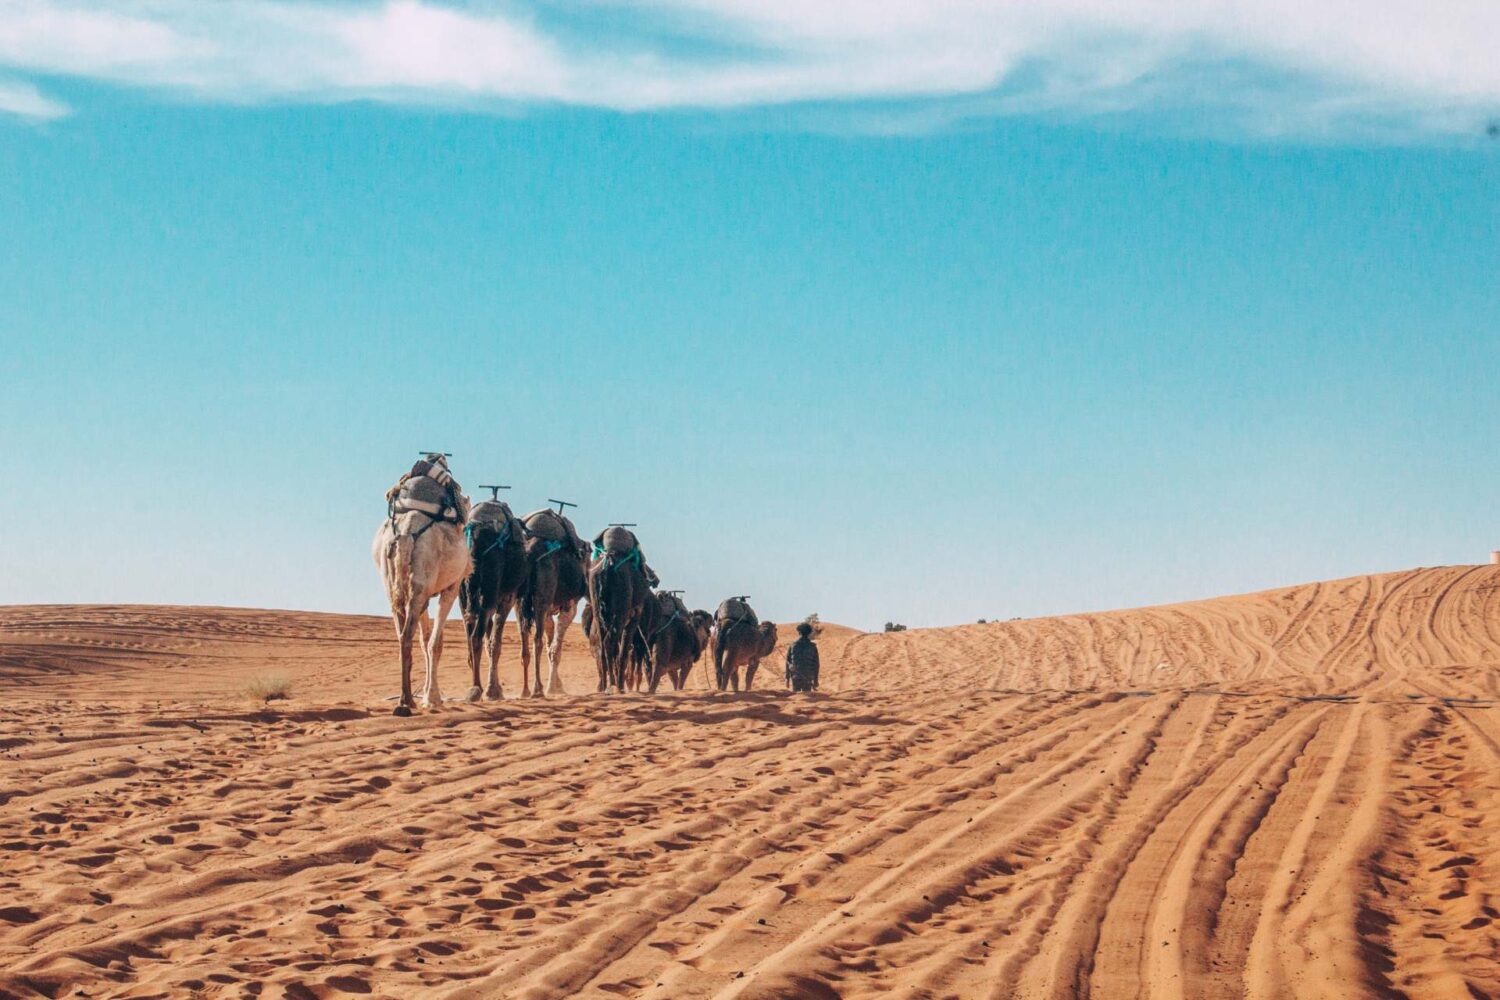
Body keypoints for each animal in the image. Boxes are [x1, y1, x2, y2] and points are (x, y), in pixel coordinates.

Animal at [373, 458, 468, 716]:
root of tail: (406, 534)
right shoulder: (451, 588)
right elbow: (435, 643)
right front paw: (433, 697)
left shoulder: (425, 593)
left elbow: (425, 642)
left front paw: (429, 695)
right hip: (420, 586)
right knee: (408, 635)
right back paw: (407, 700)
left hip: (395, 587)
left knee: (402, 635)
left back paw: (405, 699)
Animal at [456, 500, 528, 704]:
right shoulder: (506, 599)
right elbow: (495, 644)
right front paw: (493, 691)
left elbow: (489, 643)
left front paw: (494, 689)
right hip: (490, 587)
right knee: (476, 636)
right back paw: (477, 688)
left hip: (463, 593)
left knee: (470, 632)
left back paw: (474, 687)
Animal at [516, 509, 585, 695]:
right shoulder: (569, 606)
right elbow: (555, 648)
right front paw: (553, 687)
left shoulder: (549, 610)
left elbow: (551, 645)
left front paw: (556, 686)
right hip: (542, 596)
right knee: (537, 641)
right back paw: (537, 688)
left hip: (519, 601)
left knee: (525, 641)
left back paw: (525, 690)